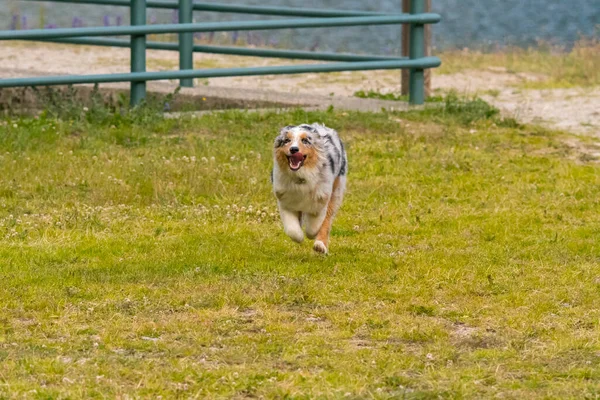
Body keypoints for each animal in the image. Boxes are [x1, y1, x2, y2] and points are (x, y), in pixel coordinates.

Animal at [272, 122, 346, 253]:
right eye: (287, 140)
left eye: (305, 140)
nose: (294, 149)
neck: (300, 177)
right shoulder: (285, 201)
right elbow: (292, 229)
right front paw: (299, 237)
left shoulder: (321, 199)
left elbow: (314, 226)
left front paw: (311, 235)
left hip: (336, 191)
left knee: (327, 220)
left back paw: (320, 245)